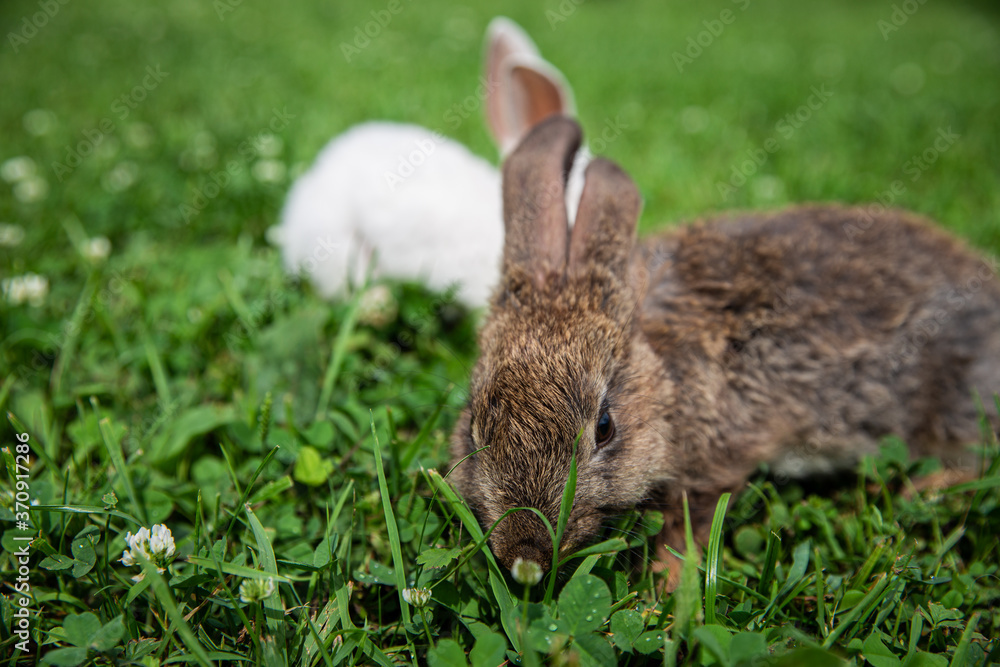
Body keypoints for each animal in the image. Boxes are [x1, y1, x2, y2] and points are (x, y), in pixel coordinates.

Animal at [447, 115, 1000, 589]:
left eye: (605, 427)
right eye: (474, 424)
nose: (526, 556)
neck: (667, 382)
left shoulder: (718, 462)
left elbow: (688, 529)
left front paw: (663, 593)